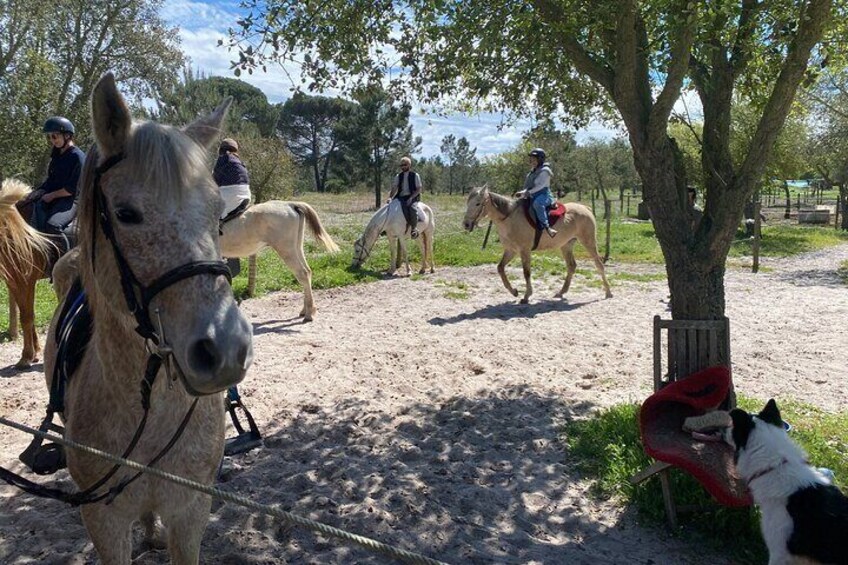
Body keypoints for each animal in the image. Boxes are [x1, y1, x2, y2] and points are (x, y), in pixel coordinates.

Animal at [0, 178, 54, 368]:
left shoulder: (26, 280)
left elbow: (27, 317)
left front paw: (26, 356)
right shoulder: (13, 281)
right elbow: (29, 315)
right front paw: (35, 352)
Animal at [464, 185, 608, 302]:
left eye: (477, 203)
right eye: (468, 202)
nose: (466, 224)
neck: (510, 218)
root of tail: (585, 208)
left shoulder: (524, 250)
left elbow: (526, 272)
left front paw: (526, 296)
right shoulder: (511, 250)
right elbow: (500, 268)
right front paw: (514, 291)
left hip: (588, 241)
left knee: (599, 264)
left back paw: (608, 292)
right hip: (566, 245)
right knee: (571, 266)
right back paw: (561, 292)